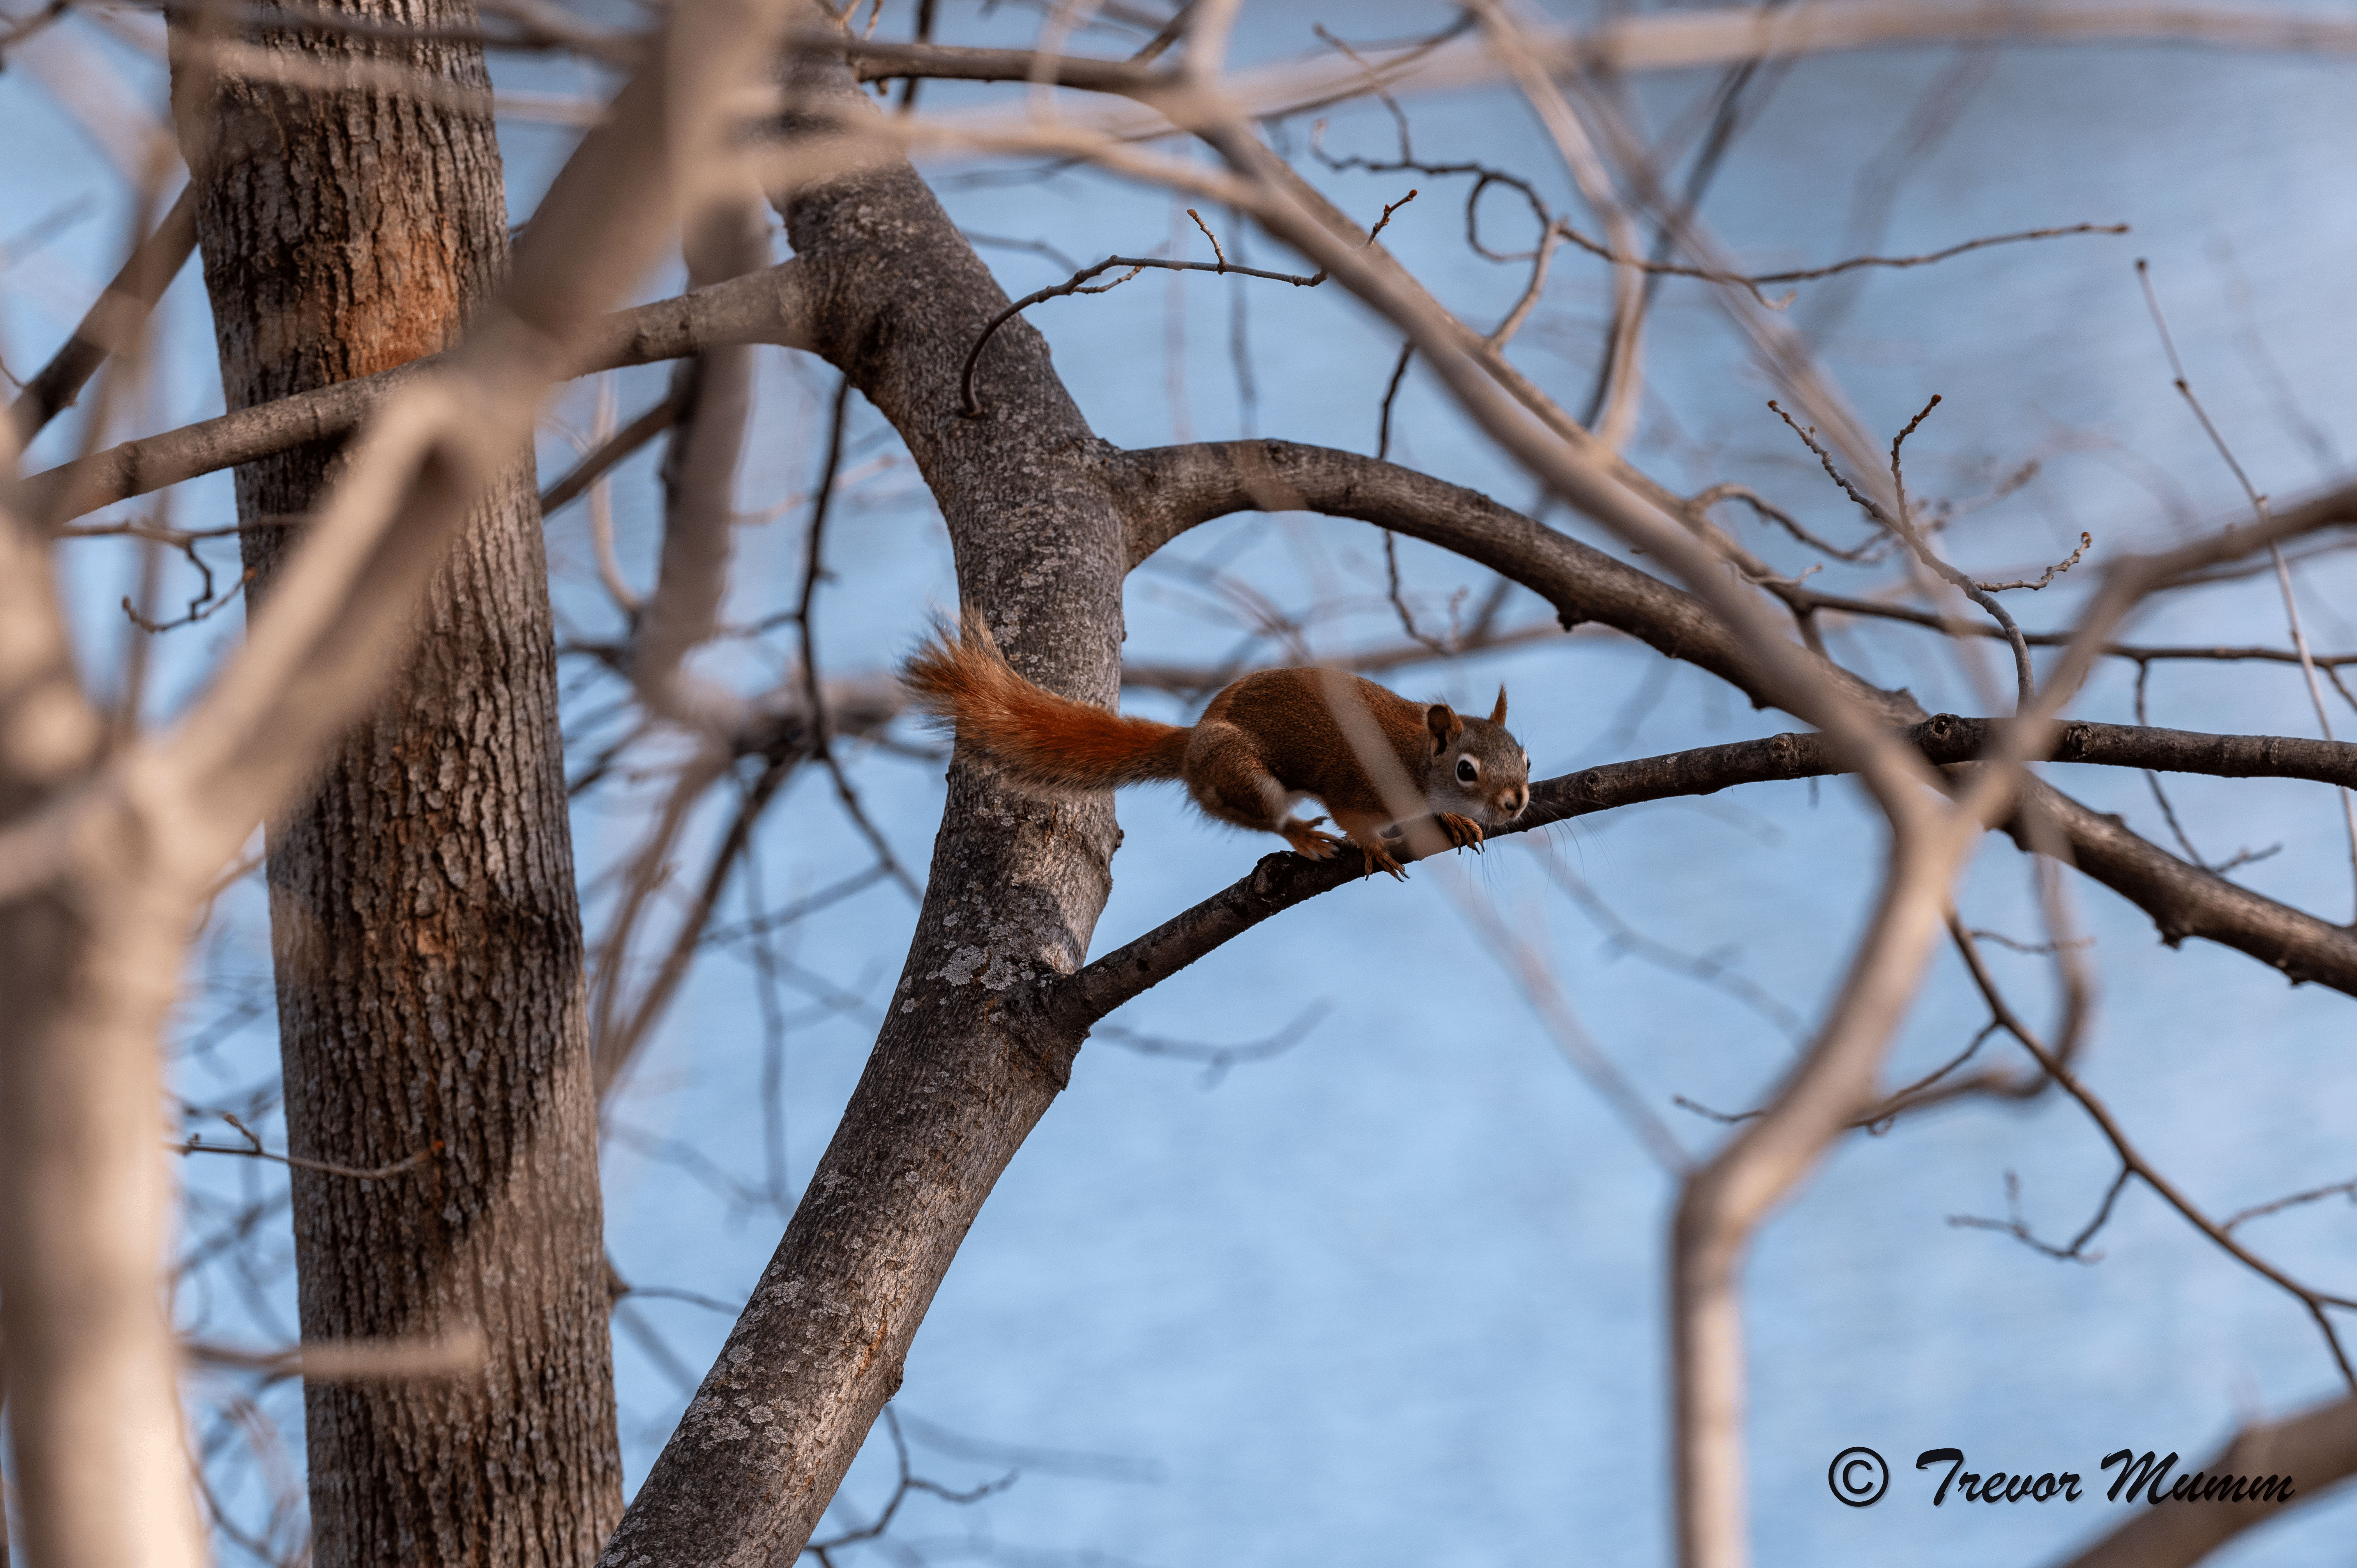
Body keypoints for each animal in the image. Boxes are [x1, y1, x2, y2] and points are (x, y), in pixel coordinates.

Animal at [902, 614, 1532, 879]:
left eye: (1527, 759)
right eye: (1467, 770)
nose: (1516, 802)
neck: (1416, 760)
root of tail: (1192, 742)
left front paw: (1455, 821)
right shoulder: (1354, 785)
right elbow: (1354, 818)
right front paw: (1374, 847)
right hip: (1241, 773)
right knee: (1265, 816)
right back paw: (1302, 836)